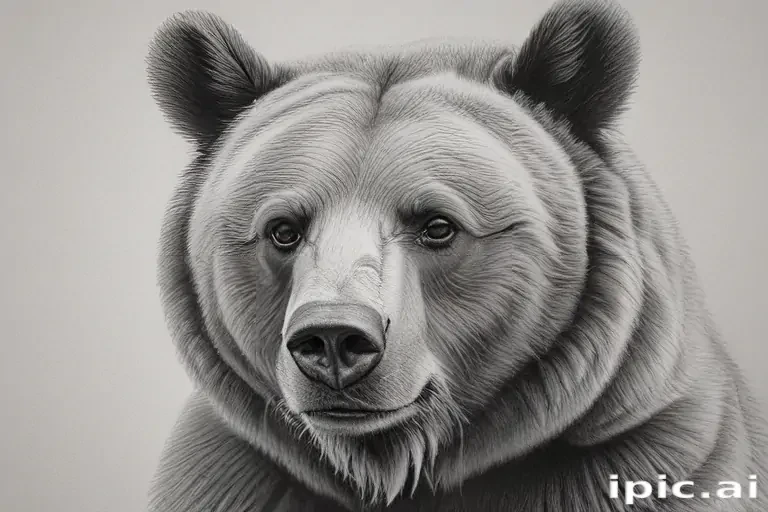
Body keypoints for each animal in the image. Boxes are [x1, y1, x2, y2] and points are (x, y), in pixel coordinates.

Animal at [145, 0, 768, 510]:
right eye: (283, 230)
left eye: (437, 225)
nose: (333, 339)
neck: (393, 463)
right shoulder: (239, 474)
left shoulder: (644, 456)